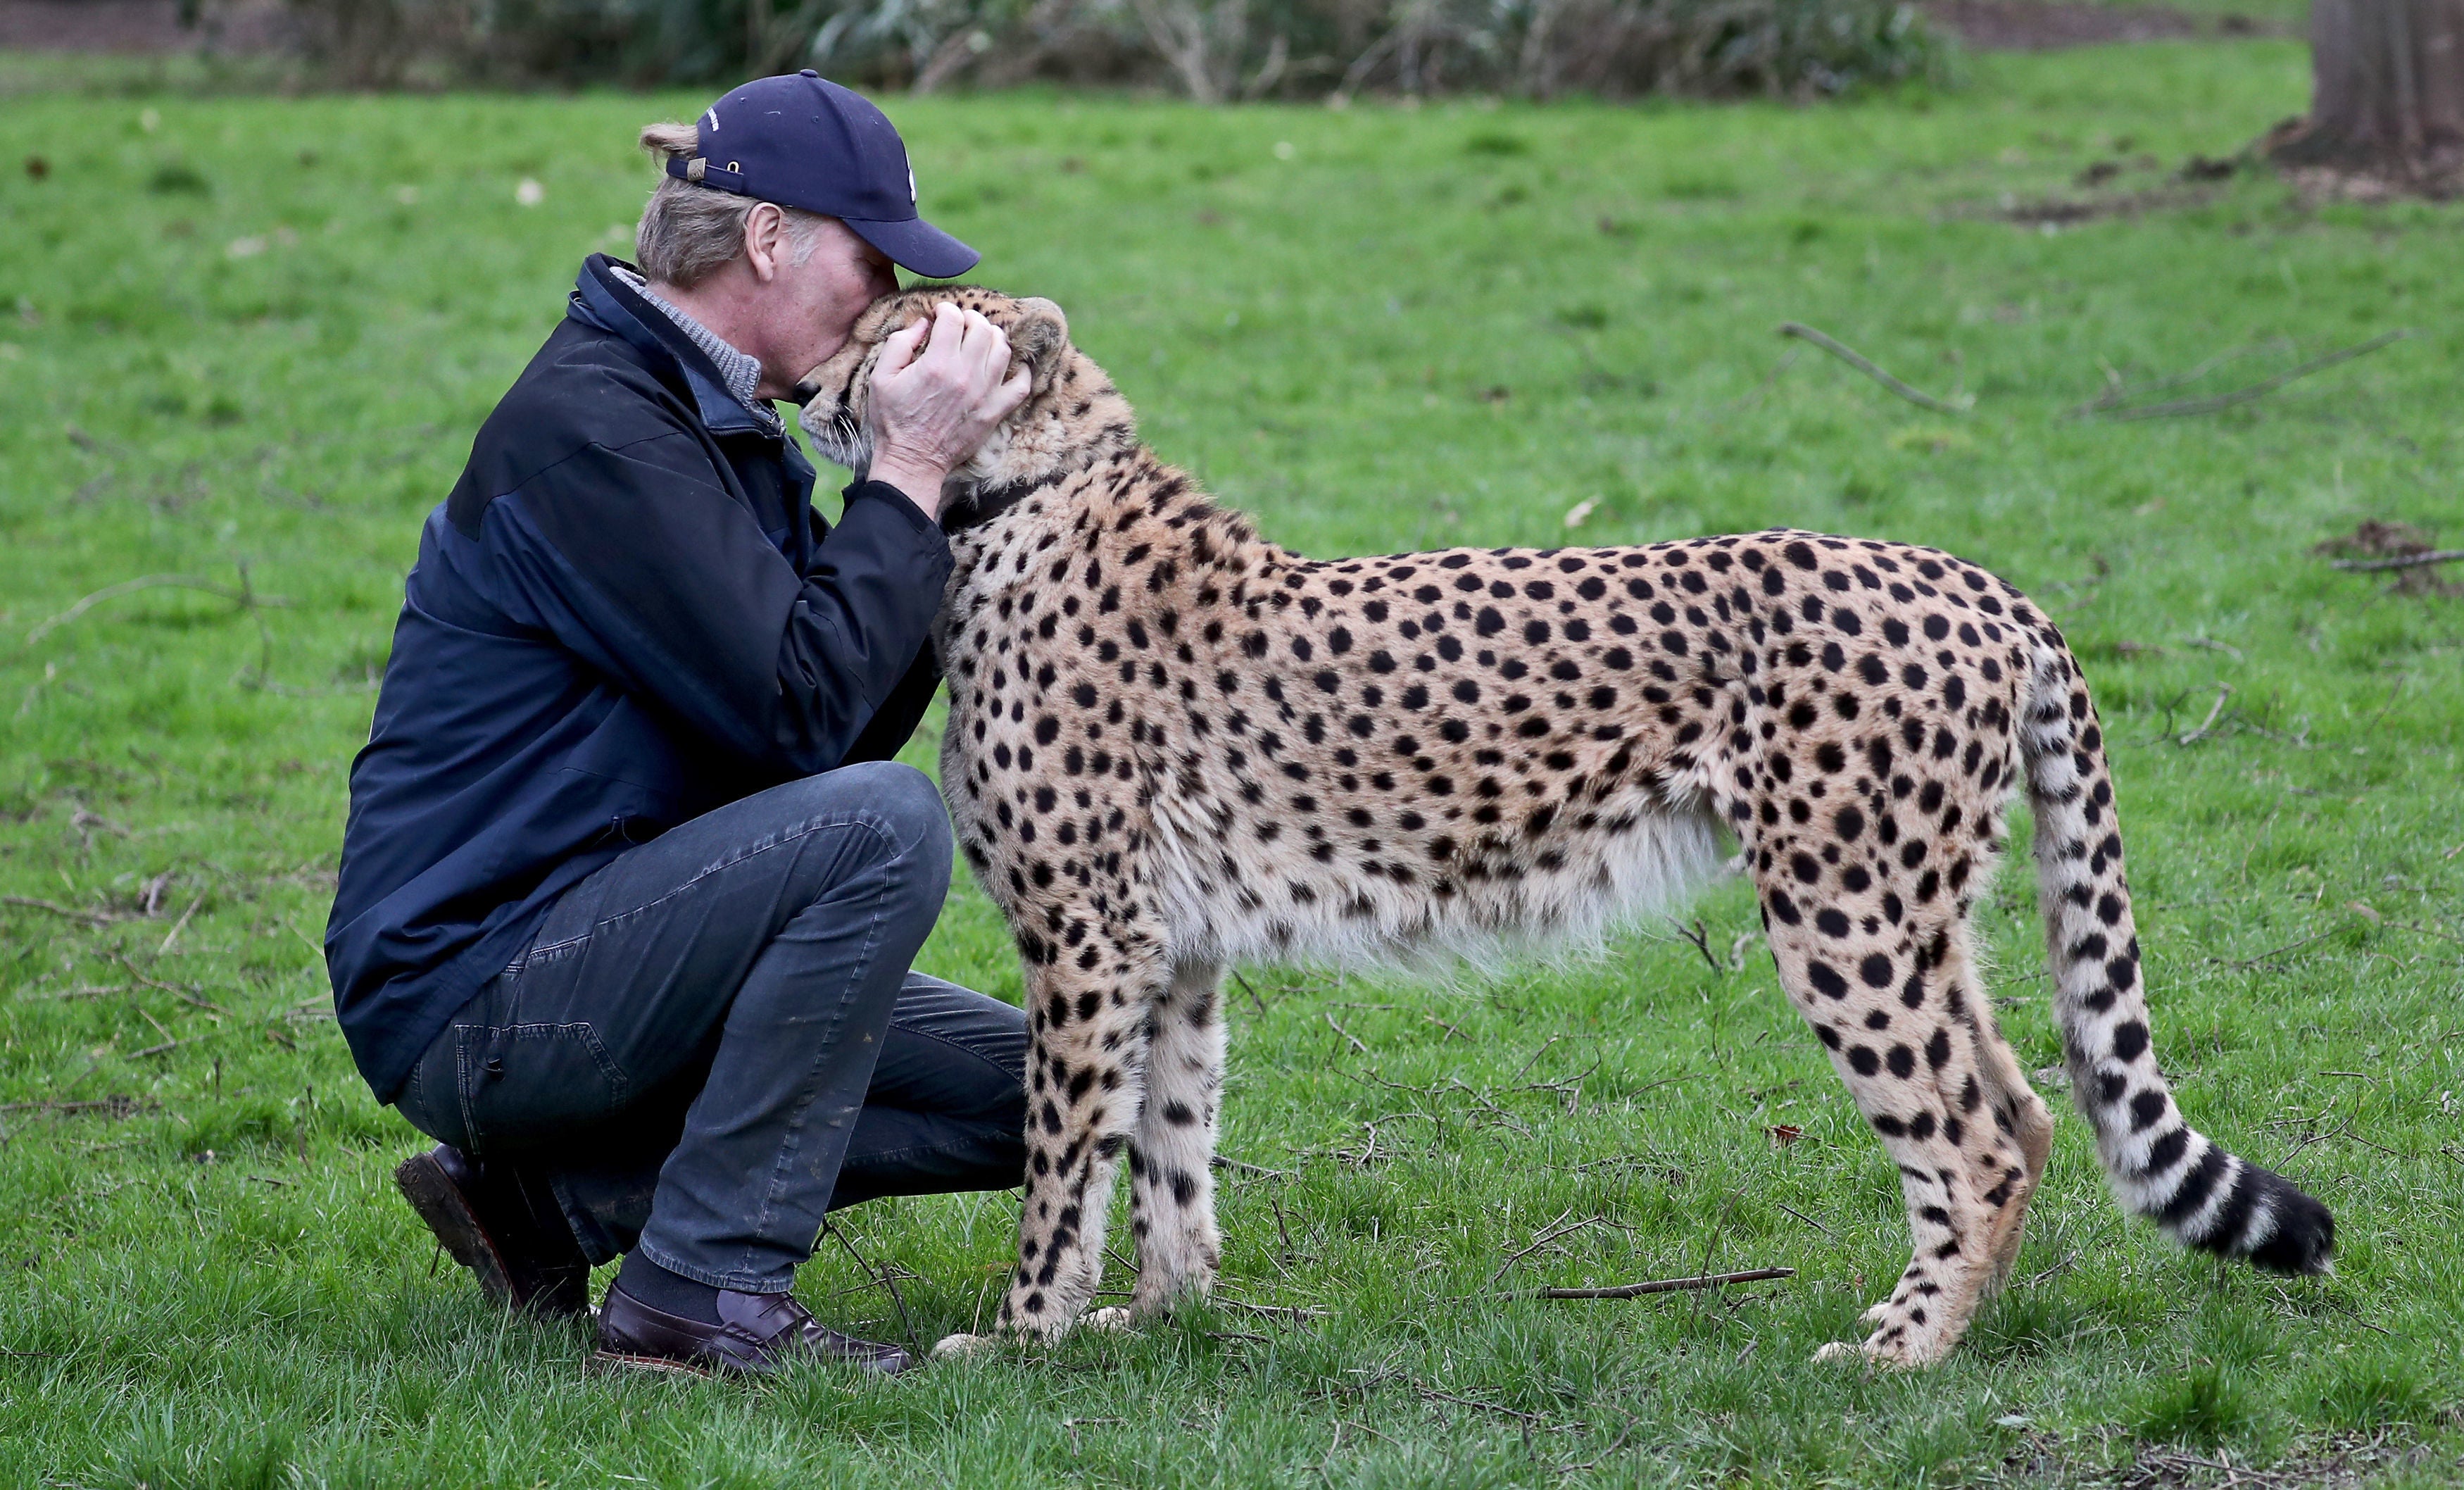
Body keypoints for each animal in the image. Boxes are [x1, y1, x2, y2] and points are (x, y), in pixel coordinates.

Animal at [795, 285, 2336, 1367]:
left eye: (888, 337)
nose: (807, 382)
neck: (1021, 494)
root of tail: (1974, 579)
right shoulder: (1171, 947)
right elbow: (1169, 1142)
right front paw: (1159, 1319)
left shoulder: (1086, 937)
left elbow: (1067, 1161)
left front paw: (1020, 1336)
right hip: (1918, 908)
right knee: (2024, 1105)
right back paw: (1955, 1327)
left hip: (1840, 909)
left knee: (1971, 1135)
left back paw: (1900, 1353)